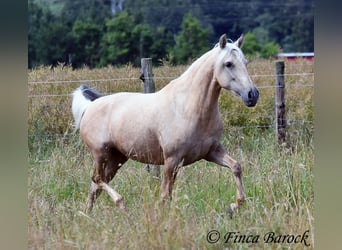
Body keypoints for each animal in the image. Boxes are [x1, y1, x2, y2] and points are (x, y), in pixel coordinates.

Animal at [73, 34, 260, 215]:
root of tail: (90, 106)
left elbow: (236, 167)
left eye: (245, 62)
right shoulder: (172, 160)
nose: (252, 95)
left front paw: (233, 206)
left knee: (95, 186)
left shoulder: (211, 151)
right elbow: (165, 195)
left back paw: (88, 216)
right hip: (101, 154)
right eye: (228, 64)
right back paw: (121, 205)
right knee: (97, 179)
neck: (188, 108)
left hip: (117, 158)